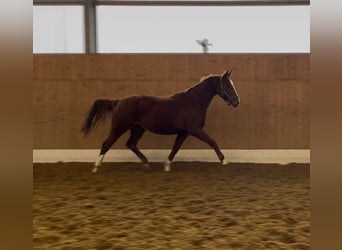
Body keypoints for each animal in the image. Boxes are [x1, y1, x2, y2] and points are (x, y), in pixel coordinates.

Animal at [81, 69, 239, 173]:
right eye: (228, 85)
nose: (237, 101)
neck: (193, 102)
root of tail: (118, 101)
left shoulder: (184, 132)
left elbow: (175, 148)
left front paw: (166, 165)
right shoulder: (195, 129)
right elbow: (212, 142)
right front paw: (224, 160)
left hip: (138, 129)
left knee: (131, 144)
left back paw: (146, 164)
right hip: (119, 127)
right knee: (107, 143)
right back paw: (96, 166)